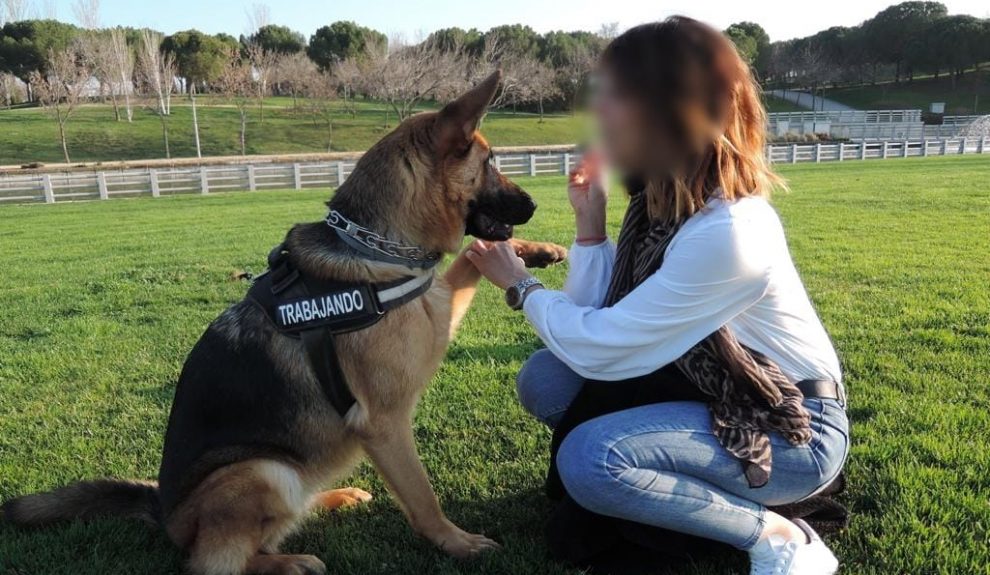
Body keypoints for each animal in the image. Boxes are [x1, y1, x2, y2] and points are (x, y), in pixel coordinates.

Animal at [1, 73, 564, 575]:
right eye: (489, 163)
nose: (536, 204)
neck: (374, 244)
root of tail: (164, 512)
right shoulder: (385, 423)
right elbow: (423, 498)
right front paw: (458, 543)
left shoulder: (438, 307)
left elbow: (472, 255)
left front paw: (536, 251)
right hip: (259, 471)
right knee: (214, 562)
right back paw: (289, 562)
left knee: (288, 511)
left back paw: (333, 497)